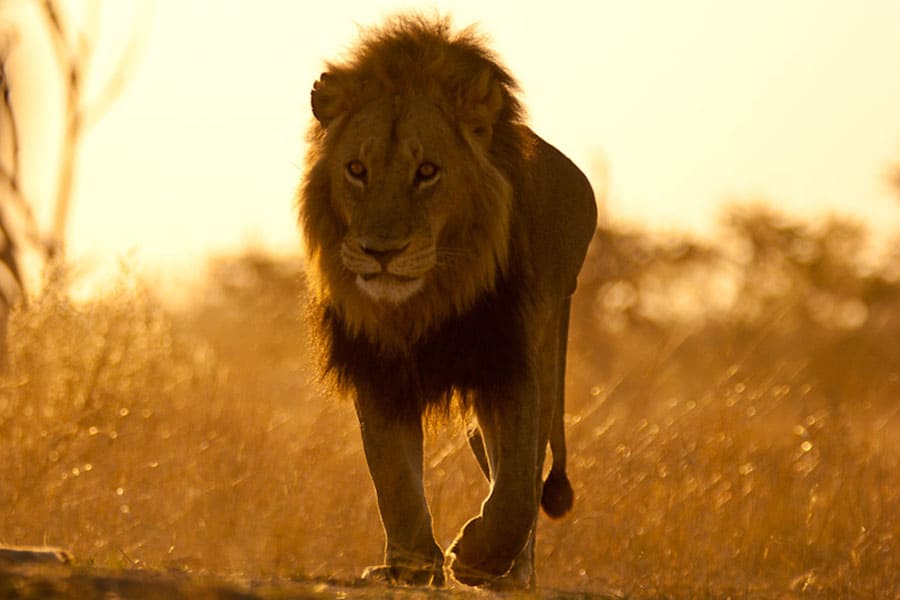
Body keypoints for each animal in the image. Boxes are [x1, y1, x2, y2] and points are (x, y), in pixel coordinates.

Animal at [297, 15, 596, 588]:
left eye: (428, 172)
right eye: (357, 170)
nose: (381, 252)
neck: (427, 299)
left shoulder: (509, 361)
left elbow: (517, 486)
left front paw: (478, 557)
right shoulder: (377, 367)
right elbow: (393, 475)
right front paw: (411, 565)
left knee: (528, 466)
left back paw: (513, 574)